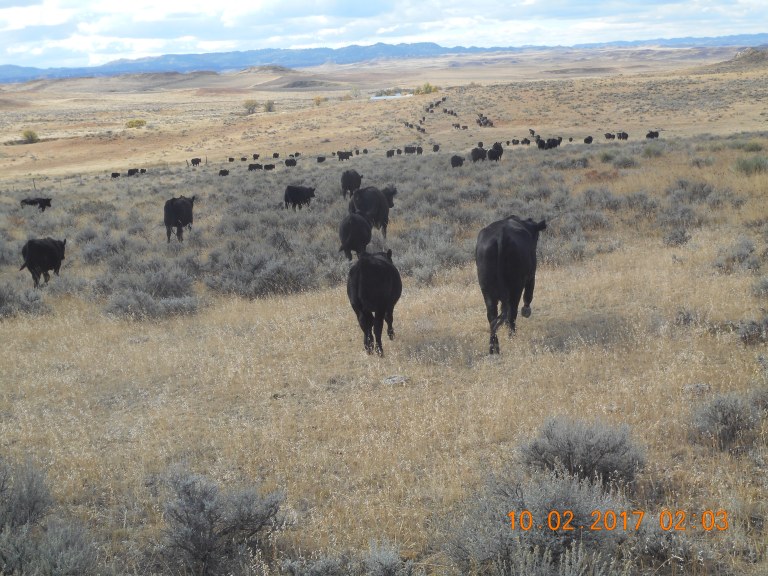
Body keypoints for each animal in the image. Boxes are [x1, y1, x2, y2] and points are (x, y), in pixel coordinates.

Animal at [475, 215, 547, 354]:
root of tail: (500, 236)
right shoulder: (531, 275)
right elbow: (529, 294)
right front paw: (526, 311)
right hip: (516, 286)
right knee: (512, 312)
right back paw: (511, 337)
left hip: (486, 289)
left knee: (492, 317)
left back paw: (493, 349)